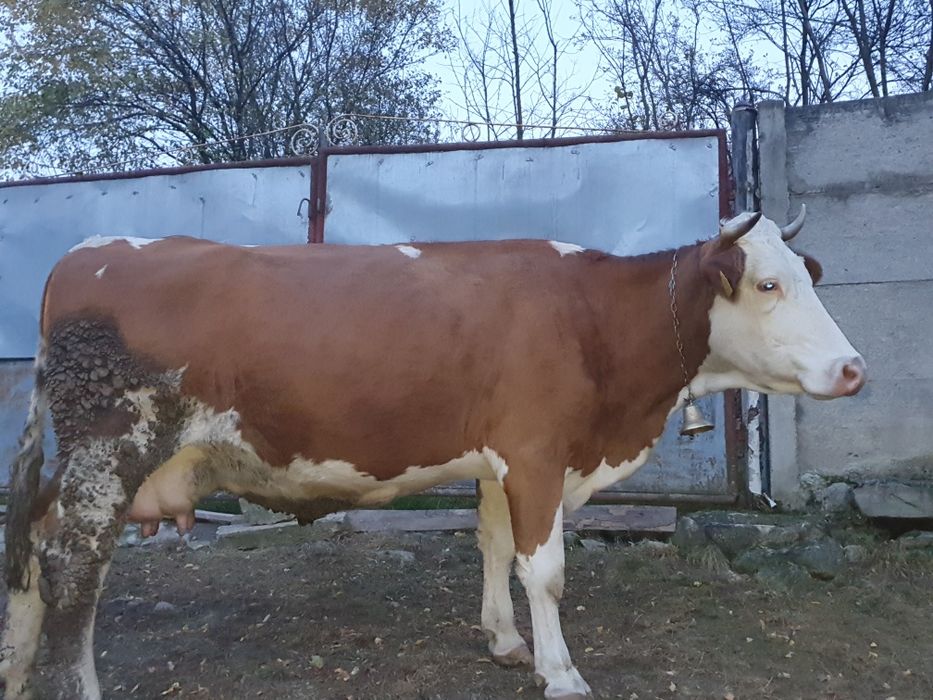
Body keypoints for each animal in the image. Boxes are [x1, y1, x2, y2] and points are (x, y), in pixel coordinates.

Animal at [1, 207, 865, 699]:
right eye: (766, 285)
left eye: (804, 277)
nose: (853, 368)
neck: (595, 320)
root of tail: (87, 250)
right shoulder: (537, 451)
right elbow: (545, 570)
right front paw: (562, 674)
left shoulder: (500, 459)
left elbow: (493, 547)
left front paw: (506, 643)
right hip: (111, 447)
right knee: (74, 565)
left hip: (83, 464)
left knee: (34, 546)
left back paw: (14, 664)